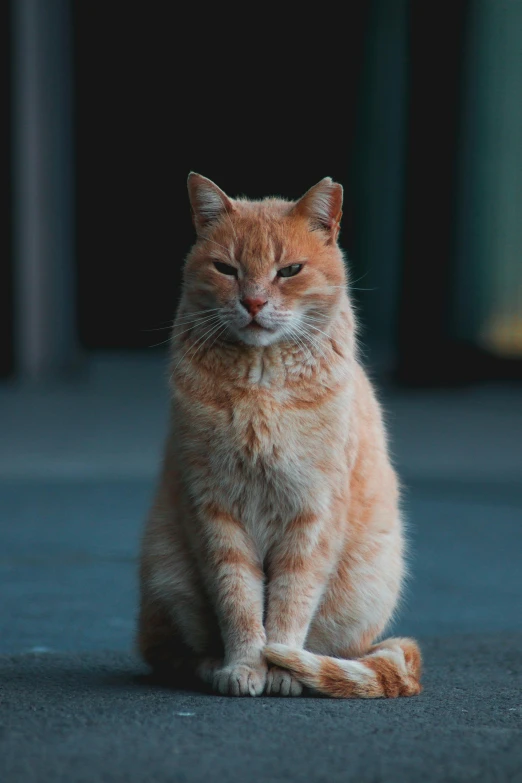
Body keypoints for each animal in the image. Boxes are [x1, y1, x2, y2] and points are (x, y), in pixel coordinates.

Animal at [136, 176, 420, 700]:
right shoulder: (215, 513)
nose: (252, 302)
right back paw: (211, 665)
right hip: (168, 578)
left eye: (289, 270)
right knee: (170, 653)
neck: (260, 386)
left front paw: (283, 668)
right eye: (226, 269)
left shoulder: (312, 514)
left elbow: (291, 601)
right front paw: (246, 666)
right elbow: (239, 600)